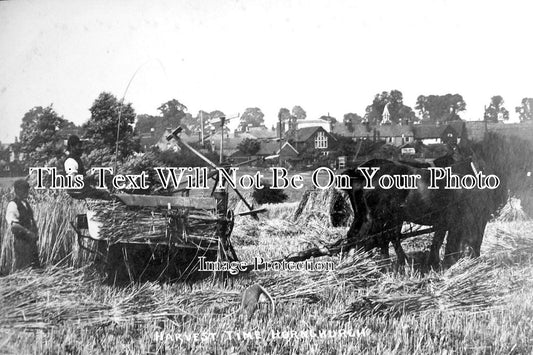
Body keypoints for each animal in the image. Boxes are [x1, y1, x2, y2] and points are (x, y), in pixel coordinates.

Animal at [340, 136, 508, 268]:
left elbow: (446, 242)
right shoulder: (471, 218)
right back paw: (382, 265)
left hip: (369, 216)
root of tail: (359, 171)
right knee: (374, 238)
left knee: (361, 236)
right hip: (379, 217)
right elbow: (469, 241)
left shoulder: (449, 221)